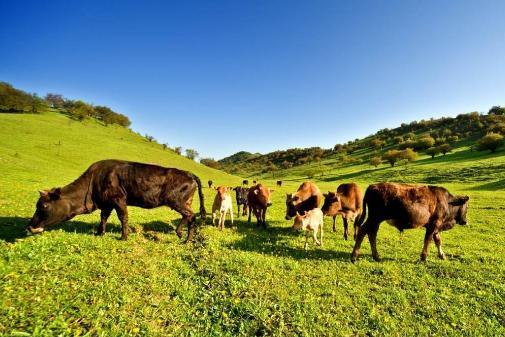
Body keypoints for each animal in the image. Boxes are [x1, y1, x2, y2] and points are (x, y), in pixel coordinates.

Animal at [26, 159, 205, 242]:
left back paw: (186, 239)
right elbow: (103, 217)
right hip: (184, 202)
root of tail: (189, 173)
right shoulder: (107, 203)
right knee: (188, 216)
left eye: (43, 205)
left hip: (177, 201)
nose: (29, 227)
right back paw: (181, 234)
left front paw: (124, 236)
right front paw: (100, 232)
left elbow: (123, 217)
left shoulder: (118, 199)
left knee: (191, 216)